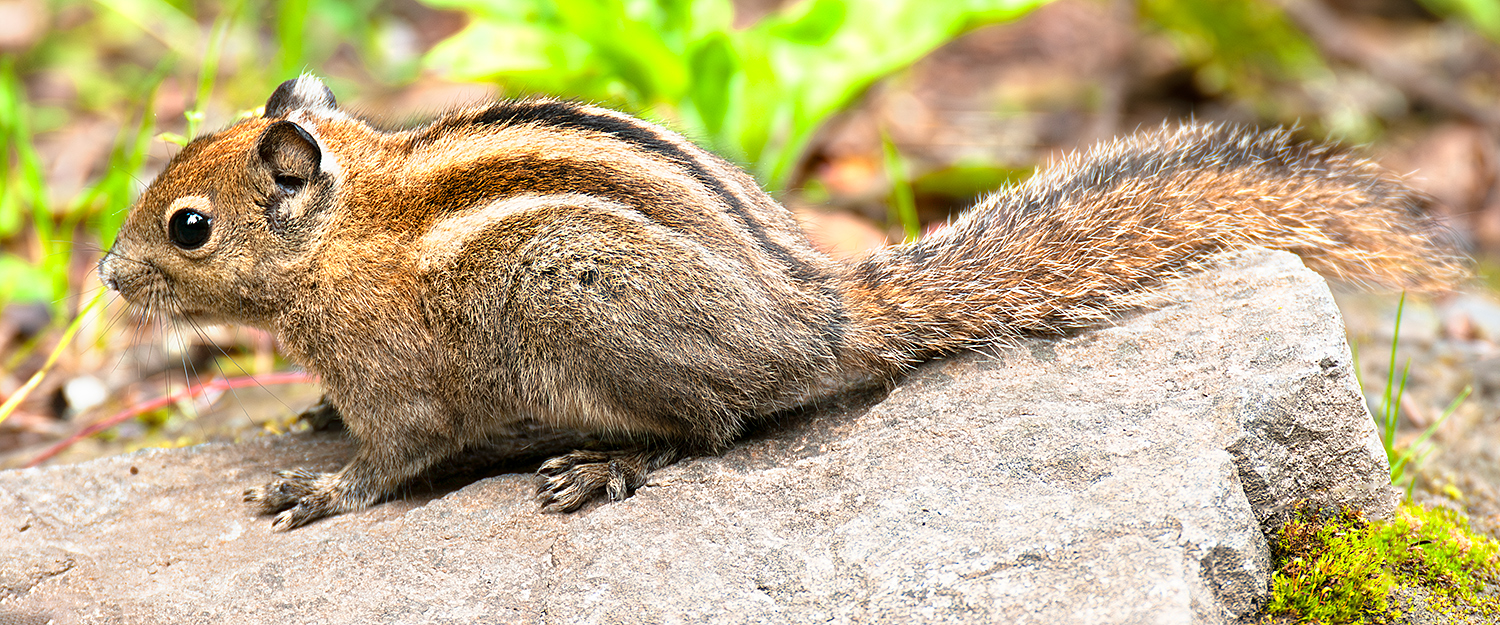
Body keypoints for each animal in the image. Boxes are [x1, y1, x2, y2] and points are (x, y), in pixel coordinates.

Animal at [102, 75, 1464, 527]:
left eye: (187, 226)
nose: (108, 278)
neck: (349, 231)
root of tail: (816, 313)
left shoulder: (404, 383)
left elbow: (393, 458)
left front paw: (316, 487)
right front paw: (301, 418)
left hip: (577, 300)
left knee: (711, 426)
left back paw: (602, 461)